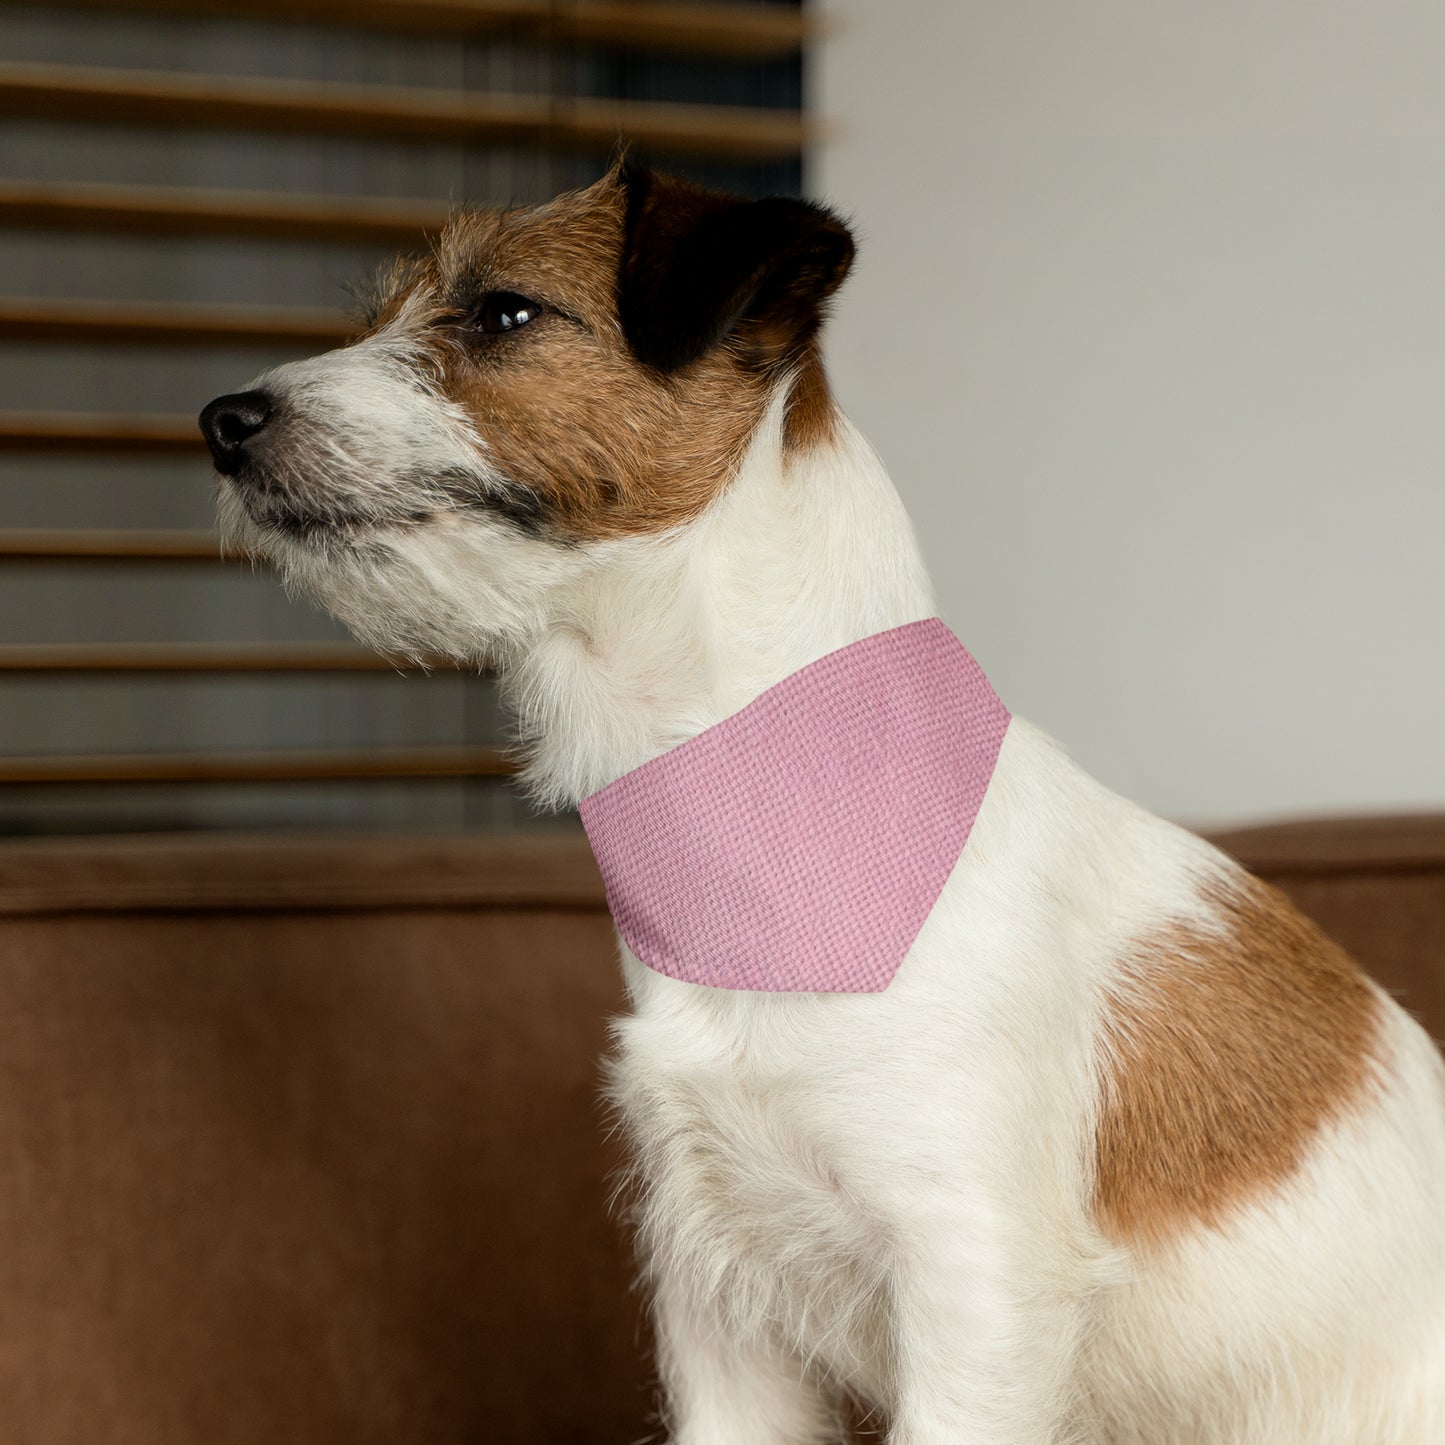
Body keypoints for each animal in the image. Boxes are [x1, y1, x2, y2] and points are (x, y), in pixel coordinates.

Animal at [195, 164, 1445, 1439]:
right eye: (382, 313)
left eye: (503, 311)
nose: (222, 421)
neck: (761, 820)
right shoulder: (717, 1302)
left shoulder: (972, 1289)